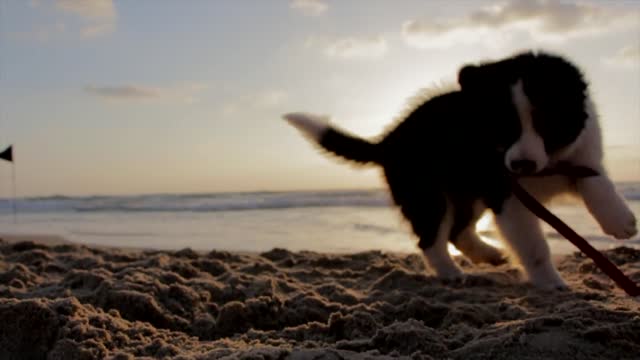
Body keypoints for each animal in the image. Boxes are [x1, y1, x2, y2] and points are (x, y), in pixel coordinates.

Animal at [282, 50, 636, 290]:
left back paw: (488, 254)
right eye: (501, 127)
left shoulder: (580, 156)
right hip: (428, 194)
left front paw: (620, 220)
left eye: (546, 122)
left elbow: (597, 181)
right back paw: (451, 272)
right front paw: (551, 283)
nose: (521, 165)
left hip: (467, 191)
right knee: (432, 237)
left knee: (458, 230)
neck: (547, 165)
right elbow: (535, 245)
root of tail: (390, 139)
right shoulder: (507, 194)